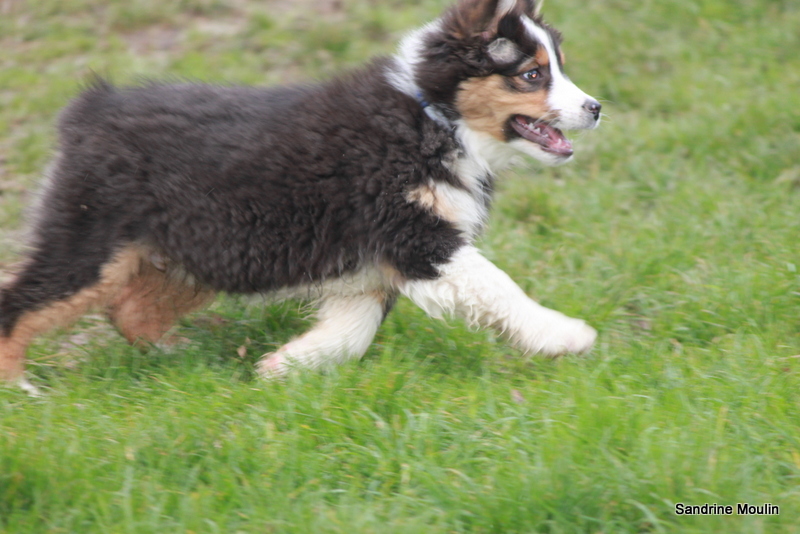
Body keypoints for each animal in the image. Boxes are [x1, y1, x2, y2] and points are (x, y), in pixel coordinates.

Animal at [0, 0, 600, 394]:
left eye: (559, 67)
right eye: (532, 75)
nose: (596, 108)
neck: (433, 116)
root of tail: (92, 108)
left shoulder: (378, 262)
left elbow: (354, 329)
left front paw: (286, 367)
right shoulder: (416, 237)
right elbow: (499, 285)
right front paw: (565, 335)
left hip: (195, 250)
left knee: (130, 310)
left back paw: (182, 358)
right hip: (92, 238)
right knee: (21, 303)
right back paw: (21, 392)